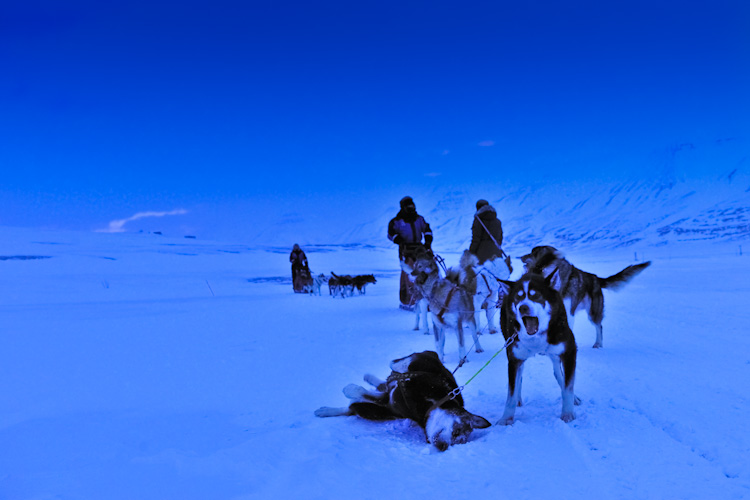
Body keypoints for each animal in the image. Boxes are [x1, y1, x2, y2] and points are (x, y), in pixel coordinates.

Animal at [312, 350, 494, 452]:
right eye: (456, 432)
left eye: (459, 442)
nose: (442, 447)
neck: (432, 404)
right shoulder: (419, 373)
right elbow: (401, 367)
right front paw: (351, 388)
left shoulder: (391, 404)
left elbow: (370, 395)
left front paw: (352, 390)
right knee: (396, 368)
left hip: (373, 411)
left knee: (355, 406)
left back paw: (326, 410)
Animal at [524, 245, 652, 348]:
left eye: (533, 253)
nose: (522, 257)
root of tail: (596, 278)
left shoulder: (567, 313)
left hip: (593, 313)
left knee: (599, 327)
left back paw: (598, 344)